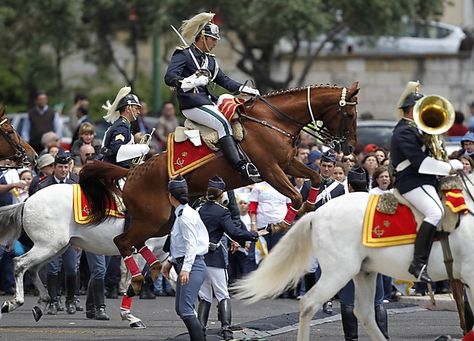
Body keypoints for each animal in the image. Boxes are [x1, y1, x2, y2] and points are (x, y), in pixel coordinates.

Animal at [0, 183, 172, 326]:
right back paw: (15, 302)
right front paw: (129, 317)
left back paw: (42, 303)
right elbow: (134, 280)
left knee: (32, 269)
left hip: (56, 247)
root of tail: (27, 201)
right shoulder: (140, 250)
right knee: (19, 263)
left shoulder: (161, 254)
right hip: (48, 246)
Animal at [79, 82, 360, 292]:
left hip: (162, 221)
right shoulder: (270, 170)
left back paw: (156, 269)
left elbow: (315, 179)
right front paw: (281, 223)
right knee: (123, 241)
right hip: (152, 219)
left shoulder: (289, 163)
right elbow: (294, 197)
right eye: (349, 114)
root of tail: (132, 172)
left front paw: (310, 205)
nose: (348, 149)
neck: (273, 121)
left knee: (134, 242)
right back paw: (139, 278)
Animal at [232, 175, 474, 340]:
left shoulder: (466, 279)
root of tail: (317, 214)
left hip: (364, 272)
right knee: (310, 303)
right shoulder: (468, 275)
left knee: (364, 313)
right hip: (339, 272)